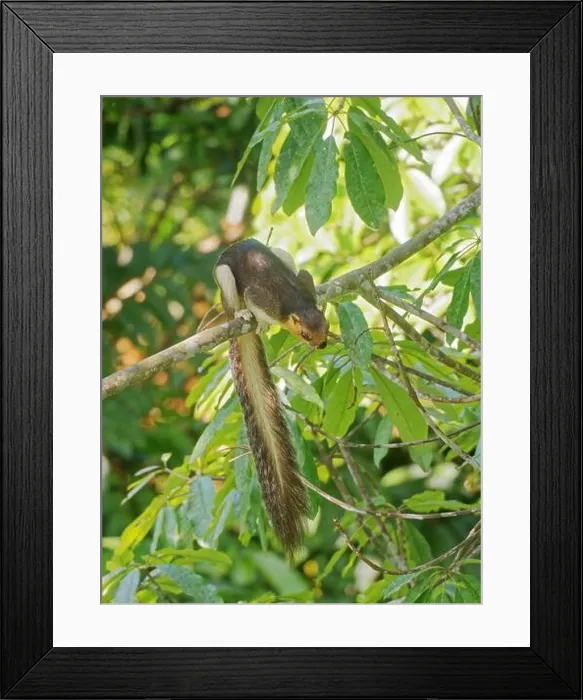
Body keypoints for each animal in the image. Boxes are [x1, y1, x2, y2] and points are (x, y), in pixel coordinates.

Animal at [213, 238, 328, 554]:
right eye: (305, 335)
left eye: (326, 328)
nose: (323, 346)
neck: (297, 303)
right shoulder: (265, 299)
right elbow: (257, 303)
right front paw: (261, 321)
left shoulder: (305, 283)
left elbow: (307, 276)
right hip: (224, 278)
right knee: (230, 297)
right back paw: (239, 314)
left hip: (279, 252)